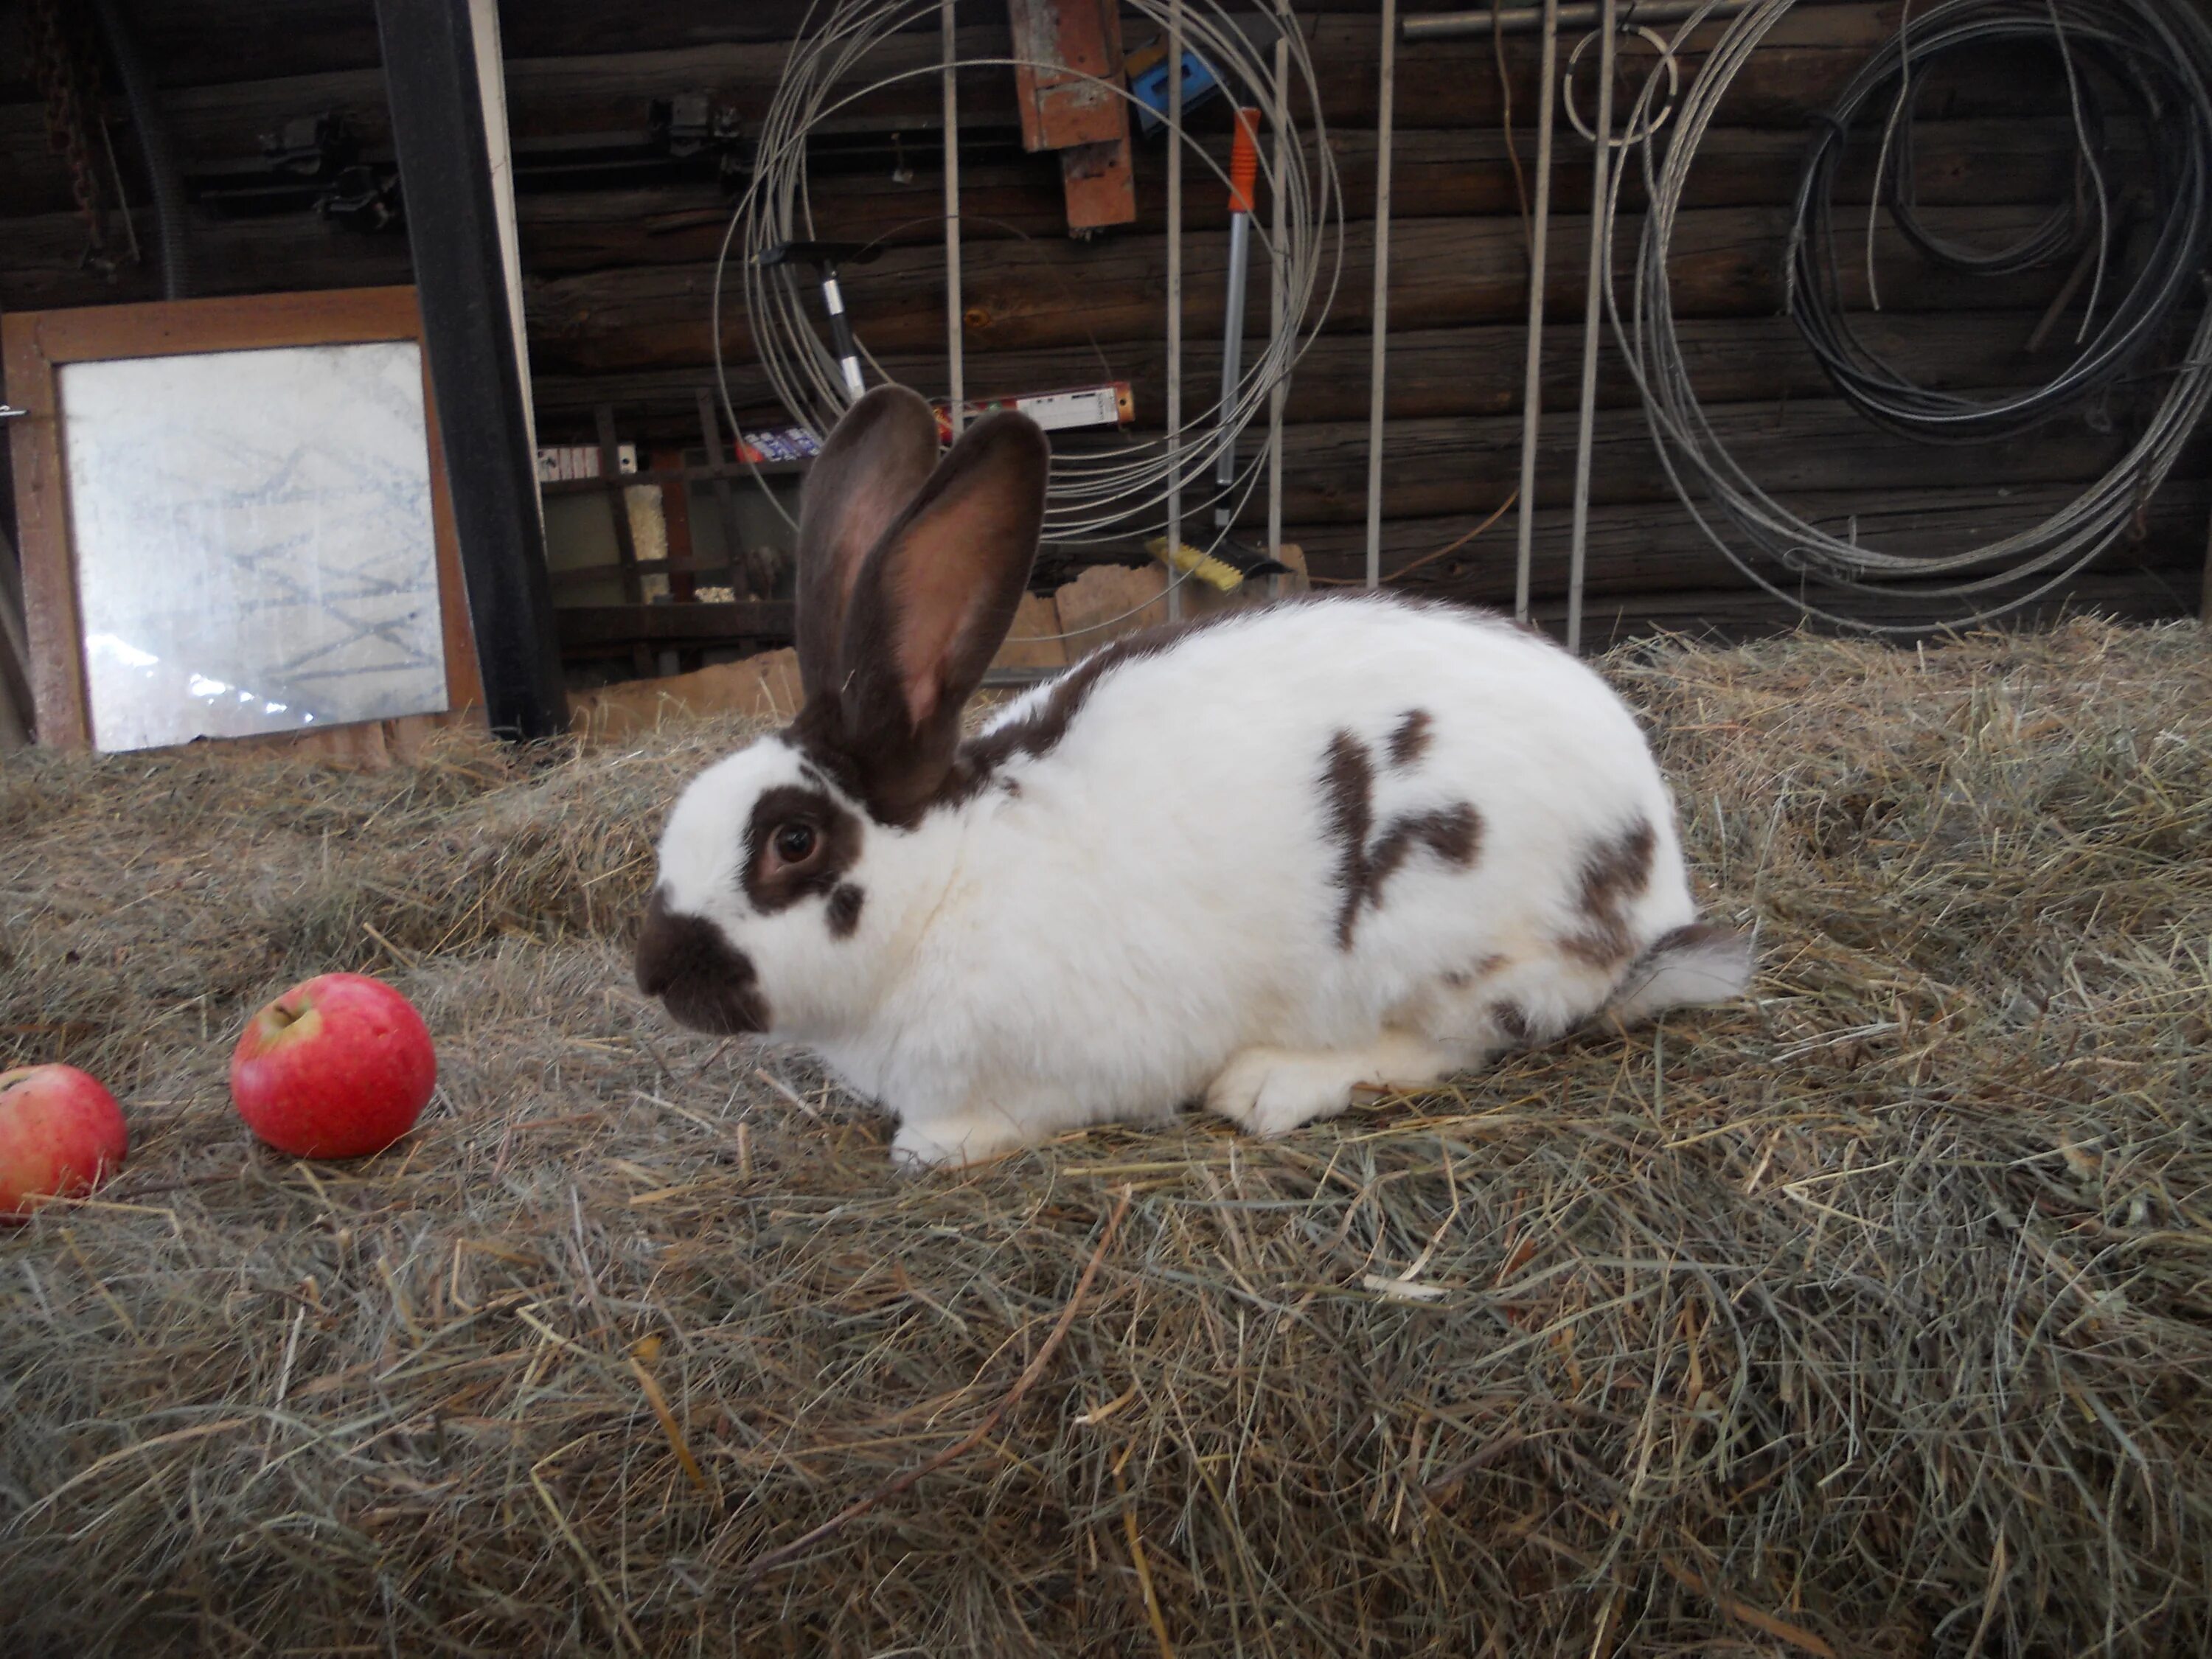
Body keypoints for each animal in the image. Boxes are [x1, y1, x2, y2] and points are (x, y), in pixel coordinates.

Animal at [637, 387, 1743, 1168]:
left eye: (792, 841)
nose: (656, 975)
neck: (949, 880)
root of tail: (1656, 883)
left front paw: (934, 1145)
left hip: (1441, 937)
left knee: (1455, 1044)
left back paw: (1270, 1086)